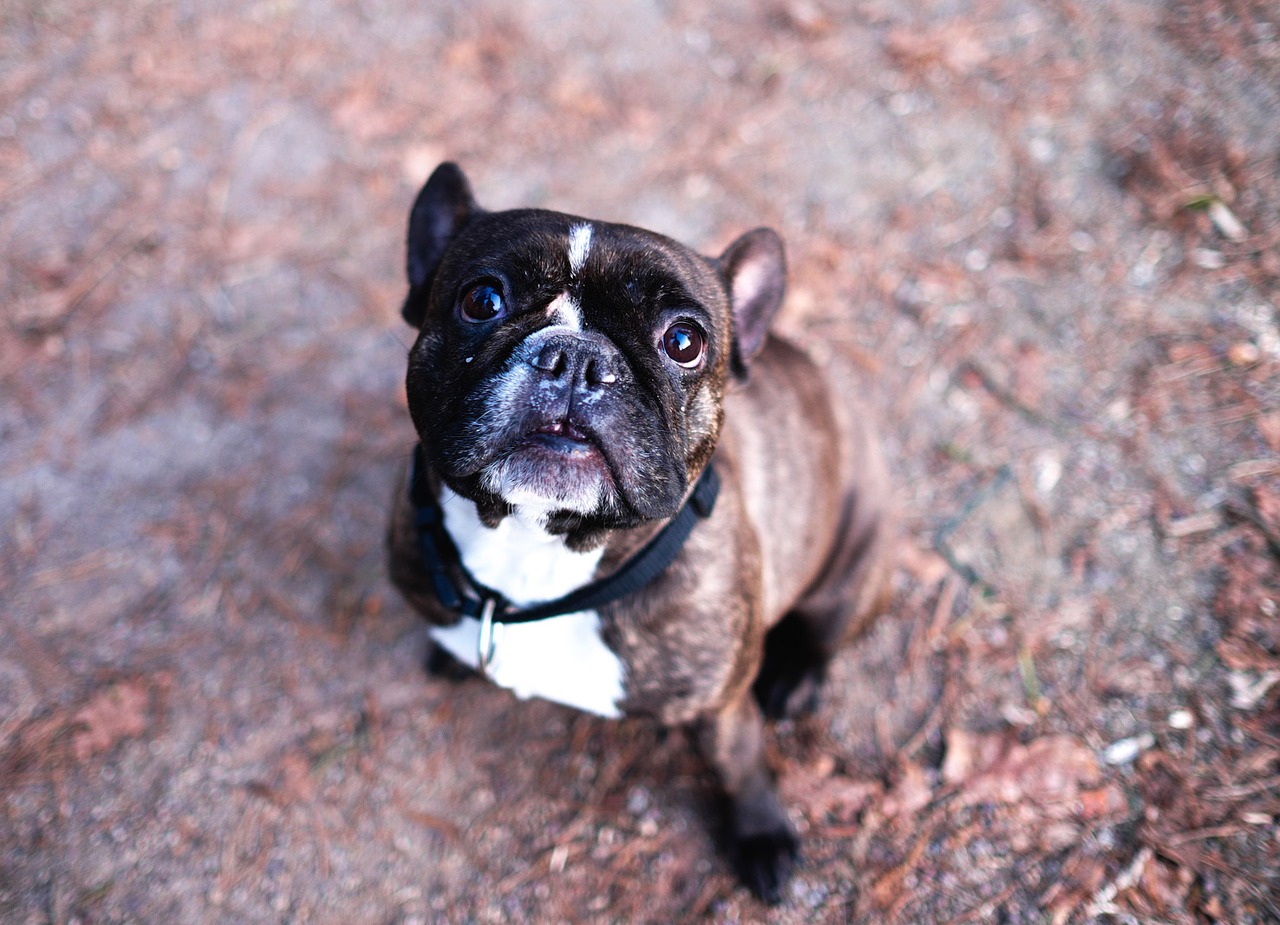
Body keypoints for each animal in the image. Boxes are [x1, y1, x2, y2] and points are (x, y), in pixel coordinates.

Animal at [384, 163, 896, 900]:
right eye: (481, 299)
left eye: (684, 340)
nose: (573, 357)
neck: (540, 548)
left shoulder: (722, 707)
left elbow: (741, 766)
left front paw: (761, 834)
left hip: (852, 563)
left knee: (824, 629)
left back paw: (795, 678)